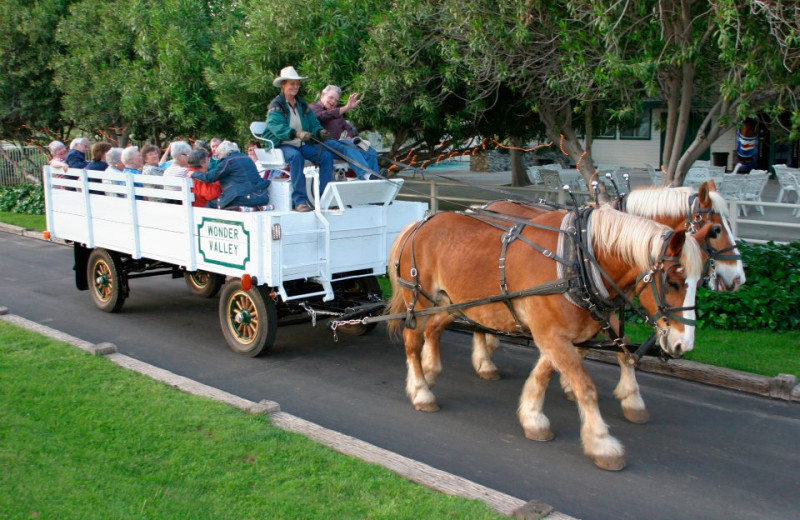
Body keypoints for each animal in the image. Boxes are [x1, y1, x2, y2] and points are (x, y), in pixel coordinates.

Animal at [388, 205, 708, 470]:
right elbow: (585, 387)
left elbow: (545, 374)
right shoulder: (552, 336)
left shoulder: (563, 335)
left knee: (433, 329)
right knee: (412, 342)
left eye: (701, 280)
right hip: (420, 300)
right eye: (674, 282)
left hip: (454, 302)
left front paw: (532, 416)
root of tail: (419, 223)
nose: (684, 344)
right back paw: (421, 390)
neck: (578, 262)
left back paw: (431, 370)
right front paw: (602, 444)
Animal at [468, 181, 744, 424]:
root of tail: (485, 206)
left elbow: (612, 345)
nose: (738, 278)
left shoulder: (605, 306)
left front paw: (623, 397)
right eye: (717, 230)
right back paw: (485, 361)